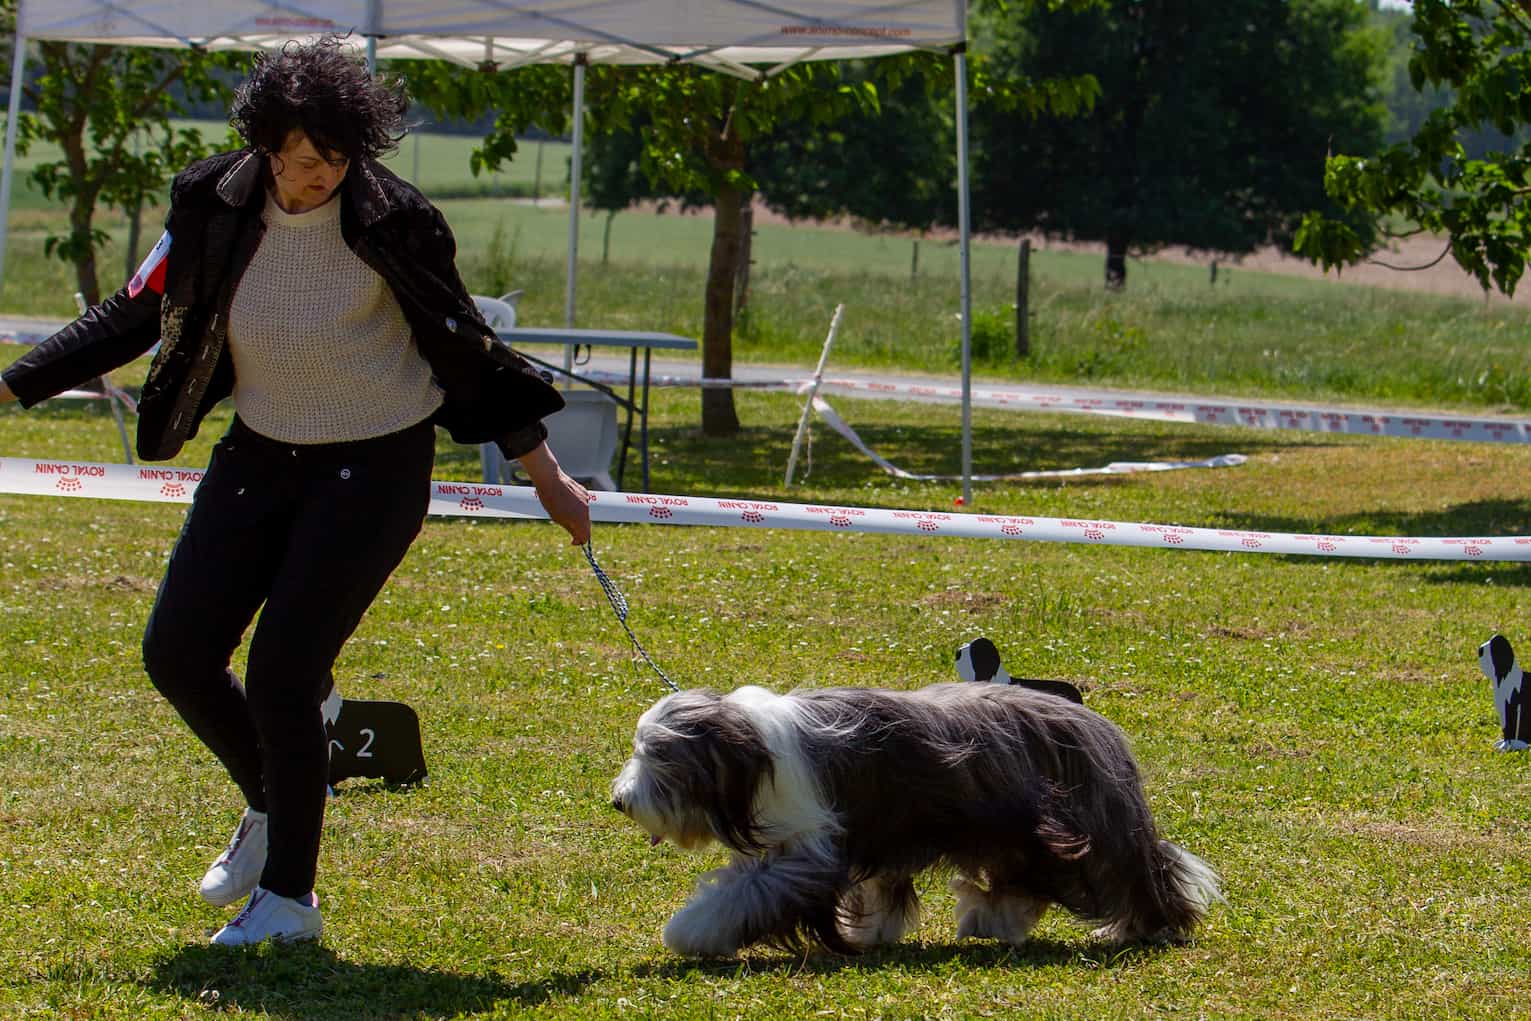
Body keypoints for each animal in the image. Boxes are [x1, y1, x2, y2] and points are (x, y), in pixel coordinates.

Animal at [610, 682, 1220, 957]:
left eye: (658, 759)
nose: (619, 801)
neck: (756, 753)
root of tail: (1095, 724)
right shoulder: (876, 835)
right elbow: (878, 889)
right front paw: (872, 932)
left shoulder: (810, 851)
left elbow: (748, 894)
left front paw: (689, 931)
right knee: (1020, 883)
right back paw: (992, 922)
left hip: (1065, 823)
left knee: (1117, 874)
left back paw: (1146, 925)